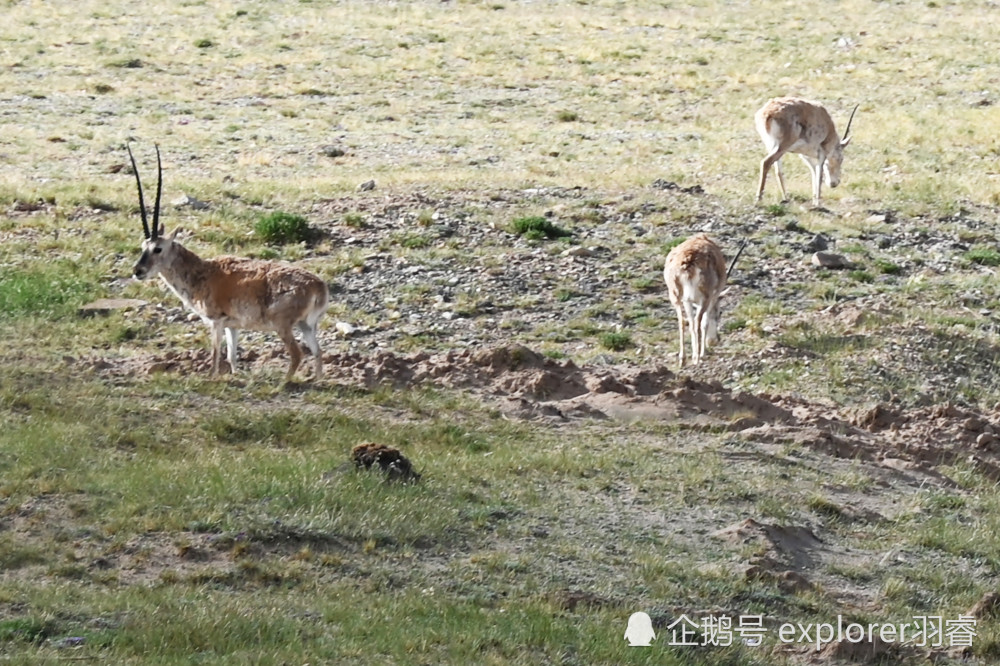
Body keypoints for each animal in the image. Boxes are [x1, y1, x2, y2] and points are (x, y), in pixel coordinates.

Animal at [127, 144, 330, 384]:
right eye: (143, 246)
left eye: (157, 248)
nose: (138, 271)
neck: (202, 272)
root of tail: (318, 286)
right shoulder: (232, 327)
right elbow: (232, 357)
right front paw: (236, 377)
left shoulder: (216, 322)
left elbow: (215, 356)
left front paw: (210, 379)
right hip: (306, 325)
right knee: (317, 352)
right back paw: (317, 380)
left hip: (284, 325)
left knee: (297, 354)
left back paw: (282, 383)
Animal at [660, 233, 740, 366]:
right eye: (720, 312)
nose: (715, 340)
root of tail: (688, 259)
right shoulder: (712, 297)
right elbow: (704, 323)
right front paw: (702, 353)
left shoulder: (687, 301)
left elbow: (690, 323)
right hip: (705, 298)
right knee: (699, 322)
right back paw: (697, 357)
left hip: (676, 297)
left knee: (682, 321)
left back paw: (683, 359)